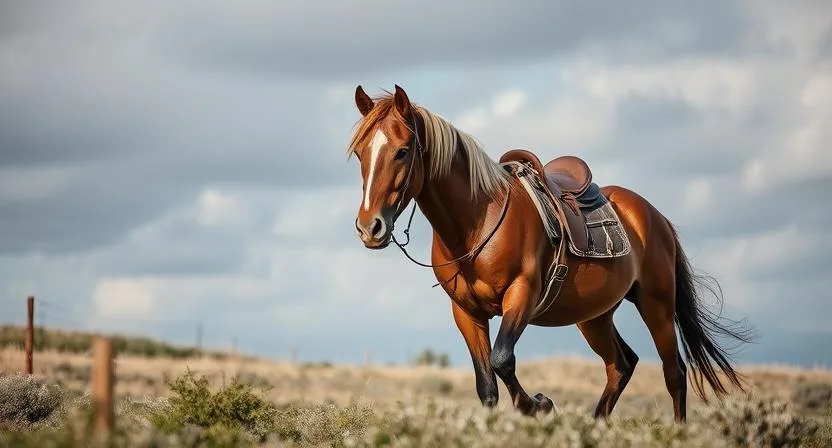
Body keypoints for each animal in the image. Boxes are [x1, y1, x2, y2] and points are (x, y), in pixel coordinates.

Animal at [344, 84, 753, 422]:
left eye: (402, 151)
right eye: (361, 154)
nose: (369, 227)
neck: (476, 222)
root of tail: (655, 216)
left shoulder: (521, 296)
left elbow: (503, 360)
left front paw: (540, 405)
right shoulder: (466, 313)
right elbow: (486, 385)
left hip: (657, 305)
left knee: (674, 373)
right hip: (595, 316)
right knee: (621, 364)